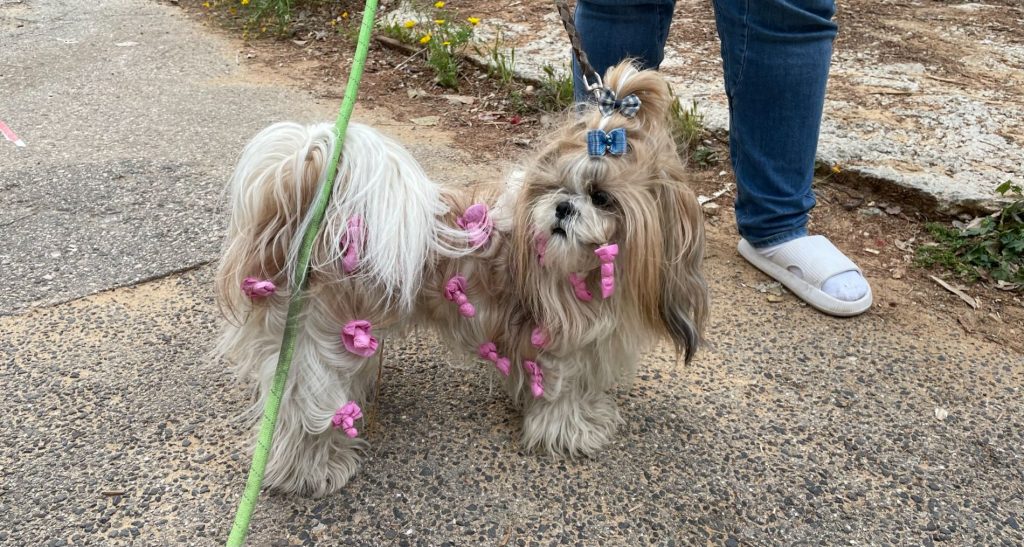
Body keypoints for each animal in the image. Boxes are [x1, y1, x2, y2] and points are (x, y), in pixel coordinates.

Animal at [214, 62, 712, 499]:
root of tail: (302, 212)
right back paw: (312, 470)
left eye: (602, 197)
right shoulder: (560, 345)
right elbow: (564, 395)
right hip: (315, 344)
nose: (563, 207)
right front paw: (574, 432)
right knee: (303, 414)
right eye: (557, 187)